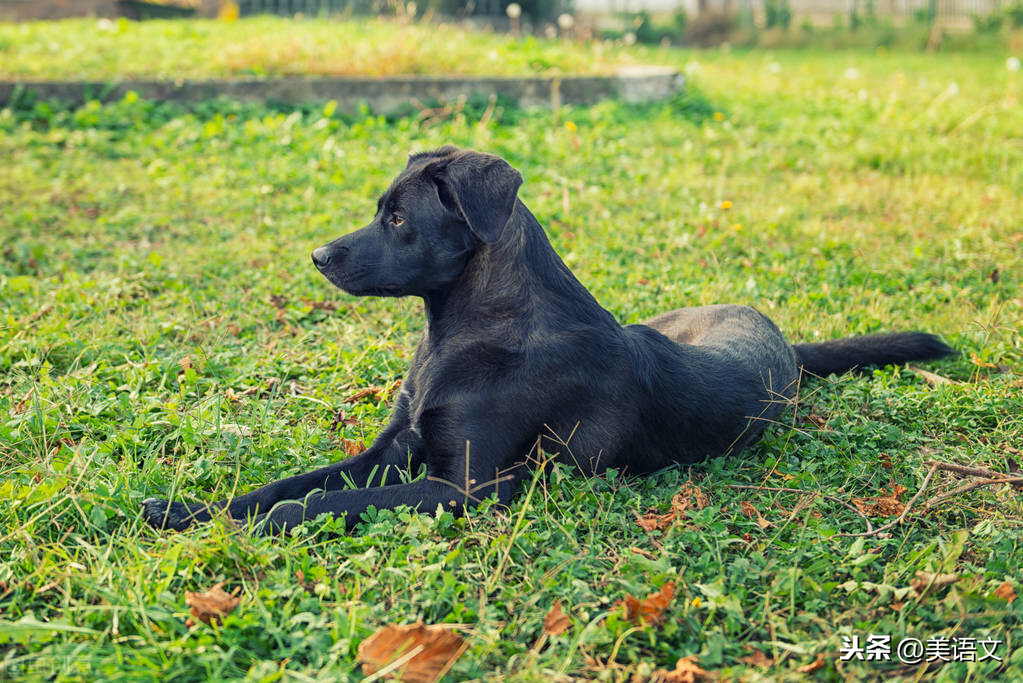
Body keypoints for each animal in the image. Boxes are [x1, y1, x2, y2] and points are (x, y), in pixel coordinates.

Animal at [140, 145, 953, 531]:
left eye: (397, 219)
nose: (316, 256)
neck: (460, 333)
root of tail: (777, 335)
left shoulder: (466, 487)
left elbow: (319, 504)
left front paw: (262, 524)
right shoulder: (389, 452)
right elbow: (289, 483)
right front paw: (191, 512)